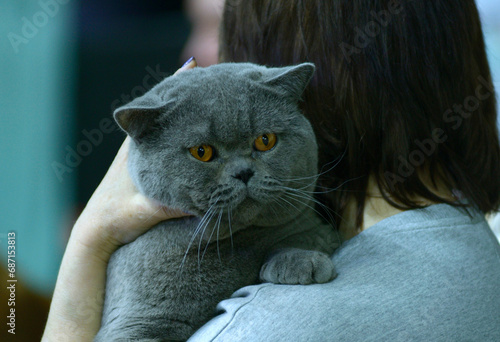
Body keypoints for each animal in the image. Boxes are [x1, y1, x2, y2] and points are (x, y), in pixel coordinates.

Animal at [94, 62, 340, 340]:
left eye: (265, 140)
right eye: (202, 152)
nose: (243, 172)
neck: (230, 246)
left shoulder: (314, 227)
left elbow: (300, 236)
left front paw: (301, 261)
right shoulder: (135, 321)